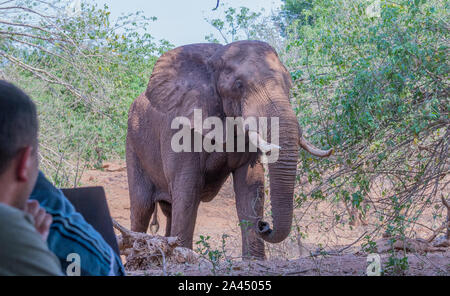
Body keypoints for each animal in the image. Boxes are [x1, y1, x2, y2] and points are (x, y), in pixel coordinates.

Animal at [125, 40, 330, 260]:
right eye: (238, 85)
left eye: (289, 85)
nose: (264, 225)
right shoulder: (181, 128)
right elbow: (188, 189)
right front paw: (186, 259)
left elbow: (250, 185)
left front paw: (254, 260)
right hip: (133, 145)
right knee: (142, 208)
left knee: (169, 209)